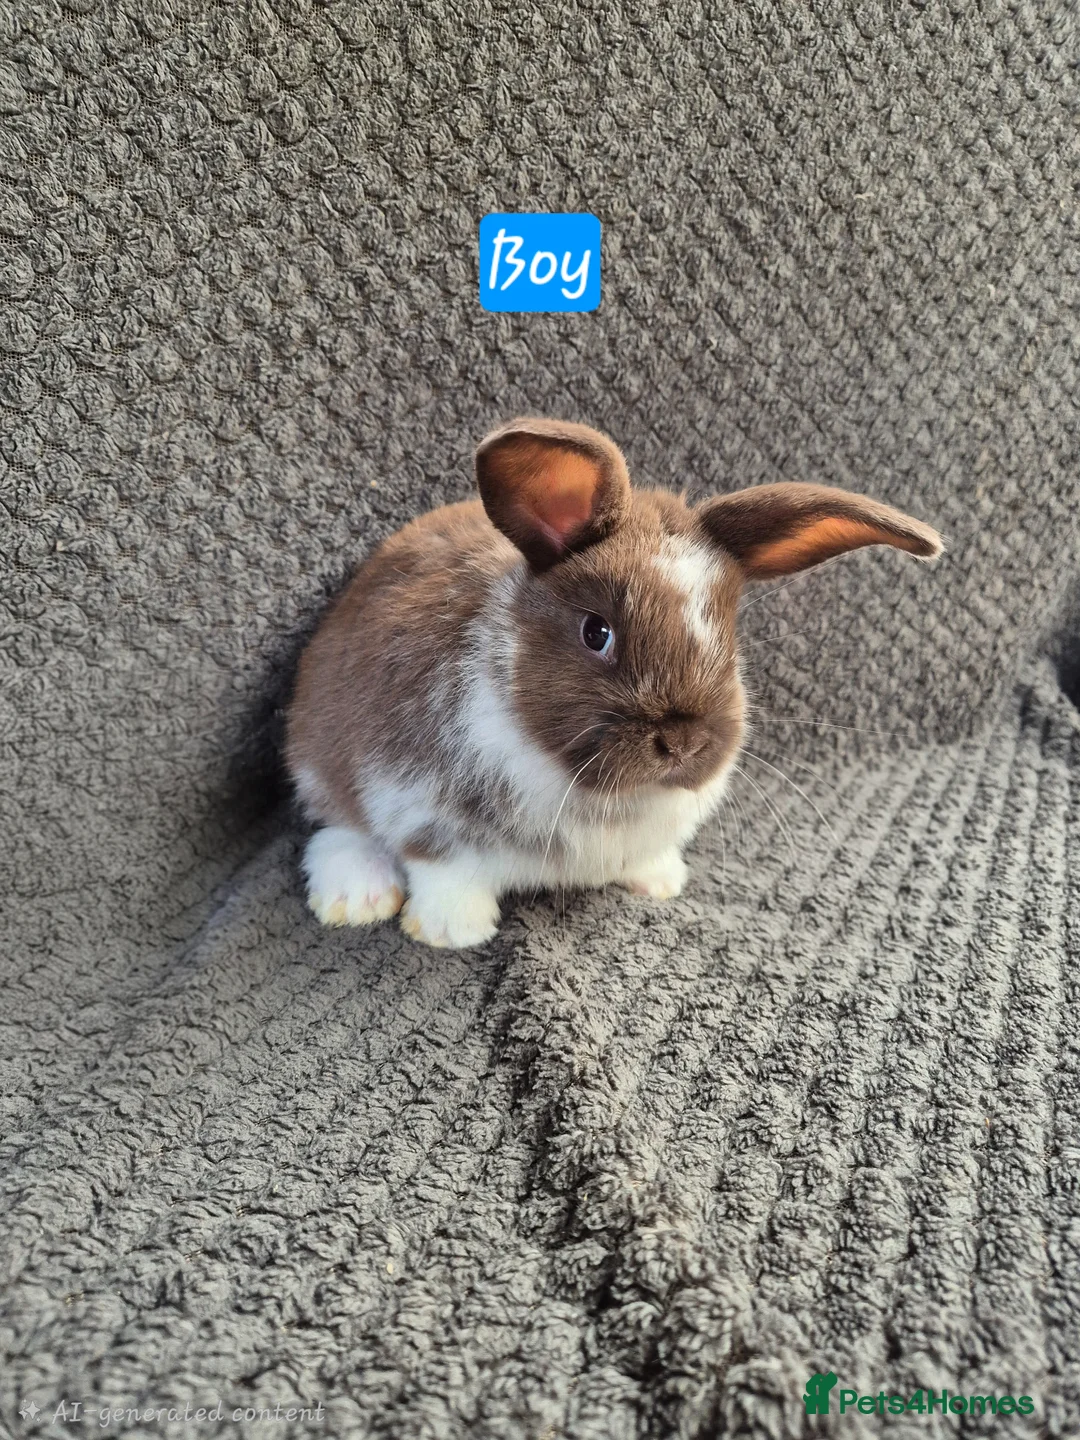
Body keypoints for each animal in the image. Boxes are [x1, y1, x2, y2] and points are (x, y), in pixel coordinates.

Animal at [285, 418, 942, 948]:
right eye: (595, 632)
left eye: (729, 638)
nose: (683, 742)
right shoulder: (419, 804)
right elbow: (443, 870)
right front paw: (452, 932)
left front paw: (661, 882)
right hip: (319, 753)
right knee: (338, 826)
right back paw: (356, 899)